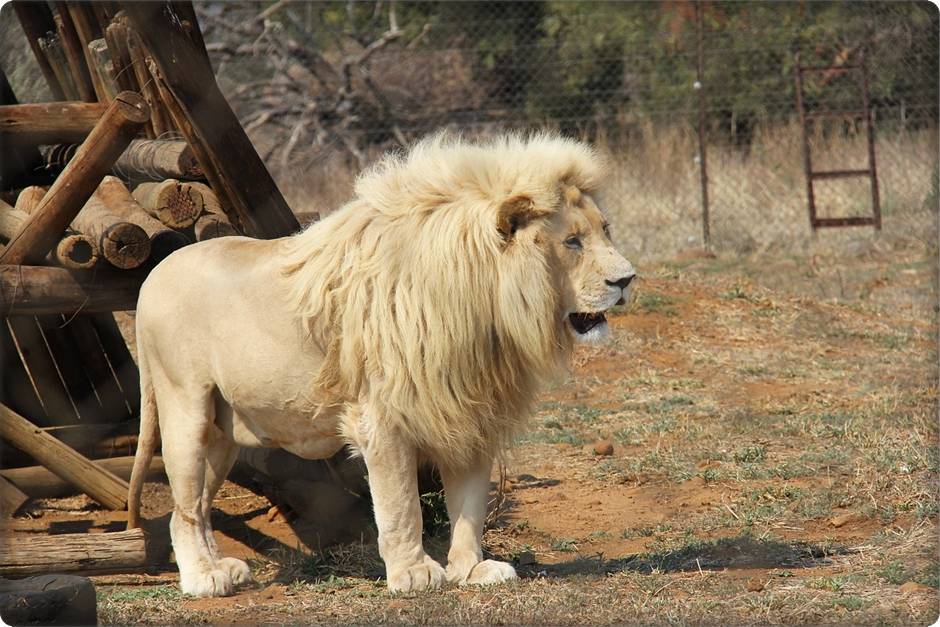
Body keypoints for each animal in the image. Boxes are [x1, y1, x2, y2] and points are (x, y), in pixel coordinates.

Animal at [127, 132, 636, 597]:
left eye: (606, 230)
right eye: (572, 242)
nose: (628, 279)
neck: (484, 308)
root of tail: (152, 277)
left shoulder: (471, 413)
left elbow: (469, 504)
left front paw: (472, 570)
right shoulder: (383, 419)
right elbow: (400, 505)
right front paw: (413, 574)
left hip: (223, 432)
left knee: (191, 506)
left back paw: (219, 569)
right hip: (185, 409)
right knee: (185, 506)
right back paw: (203, 579)